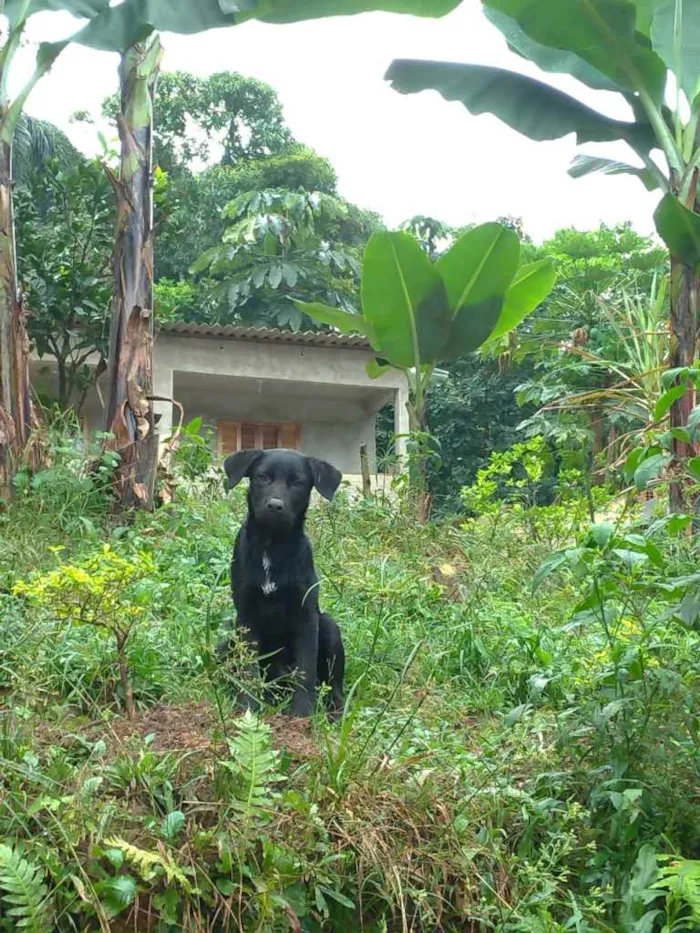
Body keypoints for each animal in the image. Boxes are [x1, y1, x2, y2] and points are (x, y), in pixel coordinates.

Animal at [224, 448, 344, 716]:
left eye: (297, 482)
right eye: (263, 477)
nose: (274, 505)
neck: (272, 544)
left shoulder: (306, 615)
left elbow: (306, 669)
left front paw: (302, 714)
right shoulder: (246, 616)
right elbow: (249, 669)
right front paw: (248, 708)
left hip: (329, 625)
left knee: (335, 685)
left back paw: (336, 711)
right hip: (228, 642)